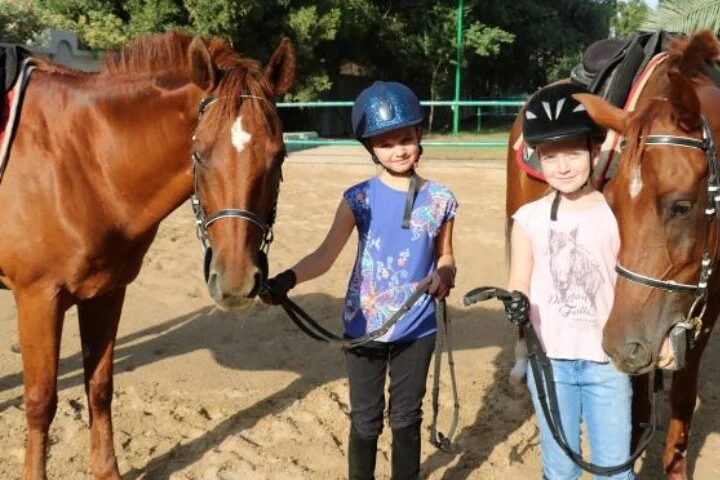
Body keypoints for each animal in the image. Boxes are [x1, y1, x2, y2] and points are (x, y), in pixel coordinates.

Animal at [0, 31, 295, 480]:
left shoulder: (105, 294)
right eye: (199, 154)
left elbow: (100, 388)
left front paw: (107, 470)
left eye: (278, 157)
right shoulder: (37, 299)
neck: (80, 160)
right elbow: (40, 401)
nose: (236, 282)